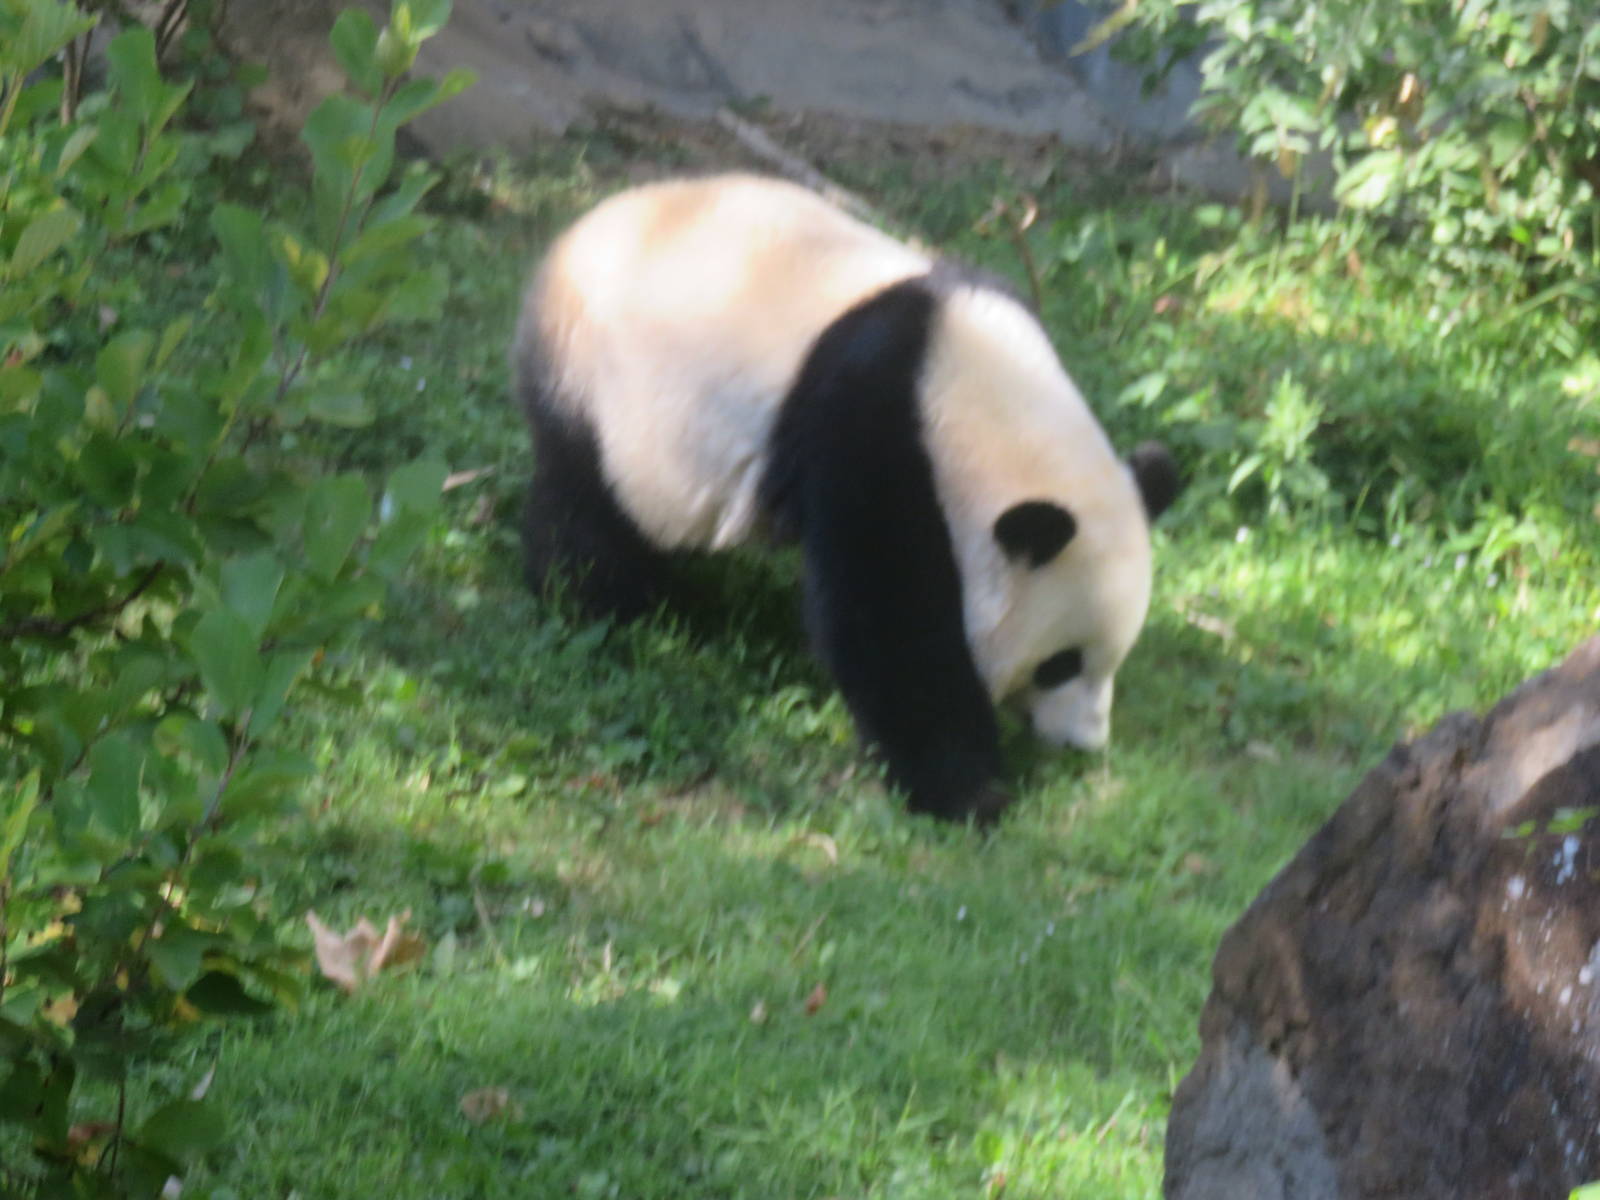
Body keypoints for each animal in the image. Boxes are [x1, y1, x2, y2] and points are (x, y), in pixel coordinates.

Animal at [513, 173, 1180, 825]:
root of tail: (569, 239)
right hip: (605, 392)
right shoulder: (871, 432)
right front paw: (970, 792)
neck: (978, 390)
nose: (1084, 744)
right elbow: (890, 620)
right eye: (1060, 662)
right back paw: (600, 604)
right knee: (589, 510)